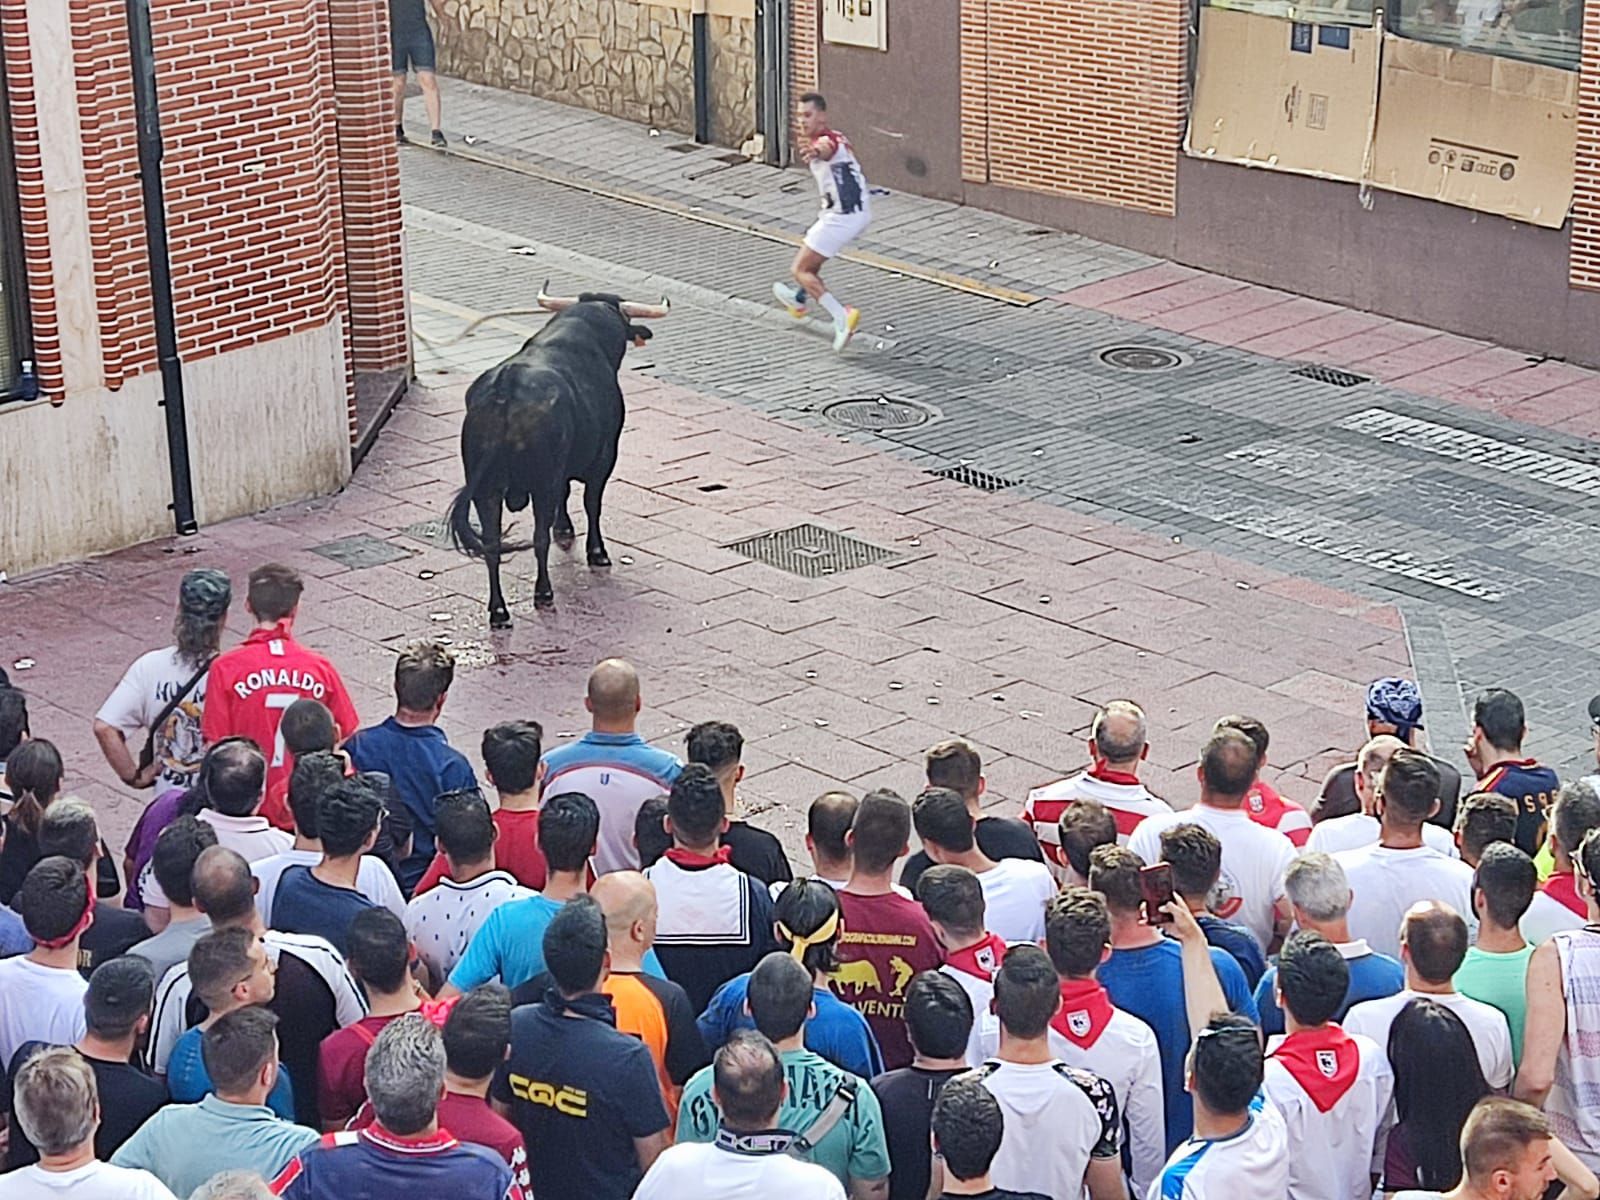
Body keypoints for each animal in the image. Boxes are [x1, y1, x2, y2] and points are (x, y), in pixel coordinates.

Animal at [444, 294, 662, 630]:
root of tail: (506, 389)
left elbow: (567, 493)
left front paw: (564, 528)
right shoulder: (603, 458)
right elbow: (591, 503)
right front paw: (597, 552)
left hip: (485, 489)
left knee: (492, 545)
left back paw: (499, 612)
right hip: (540, 483)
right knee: (538, 538)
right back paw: (543, 593)